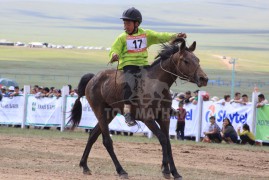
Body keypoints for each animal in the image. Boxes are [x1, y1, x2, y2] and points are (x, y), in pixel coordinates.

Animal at [68, 37, 207, 179]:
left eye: (197, 60)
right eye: (186, 60)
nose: (204, 78)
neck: (156, 85)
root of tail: (93, 78)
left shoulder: (164, 118)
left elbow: (167, 142)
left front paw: (174, 171)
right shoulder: (148, 119)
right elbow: (162, 139)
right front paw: (166, 170)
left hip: (109, 114)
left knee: (93, 135)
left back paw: (84, 165)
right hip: (100, 112)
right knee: (107, 141)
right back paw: (121, 170)